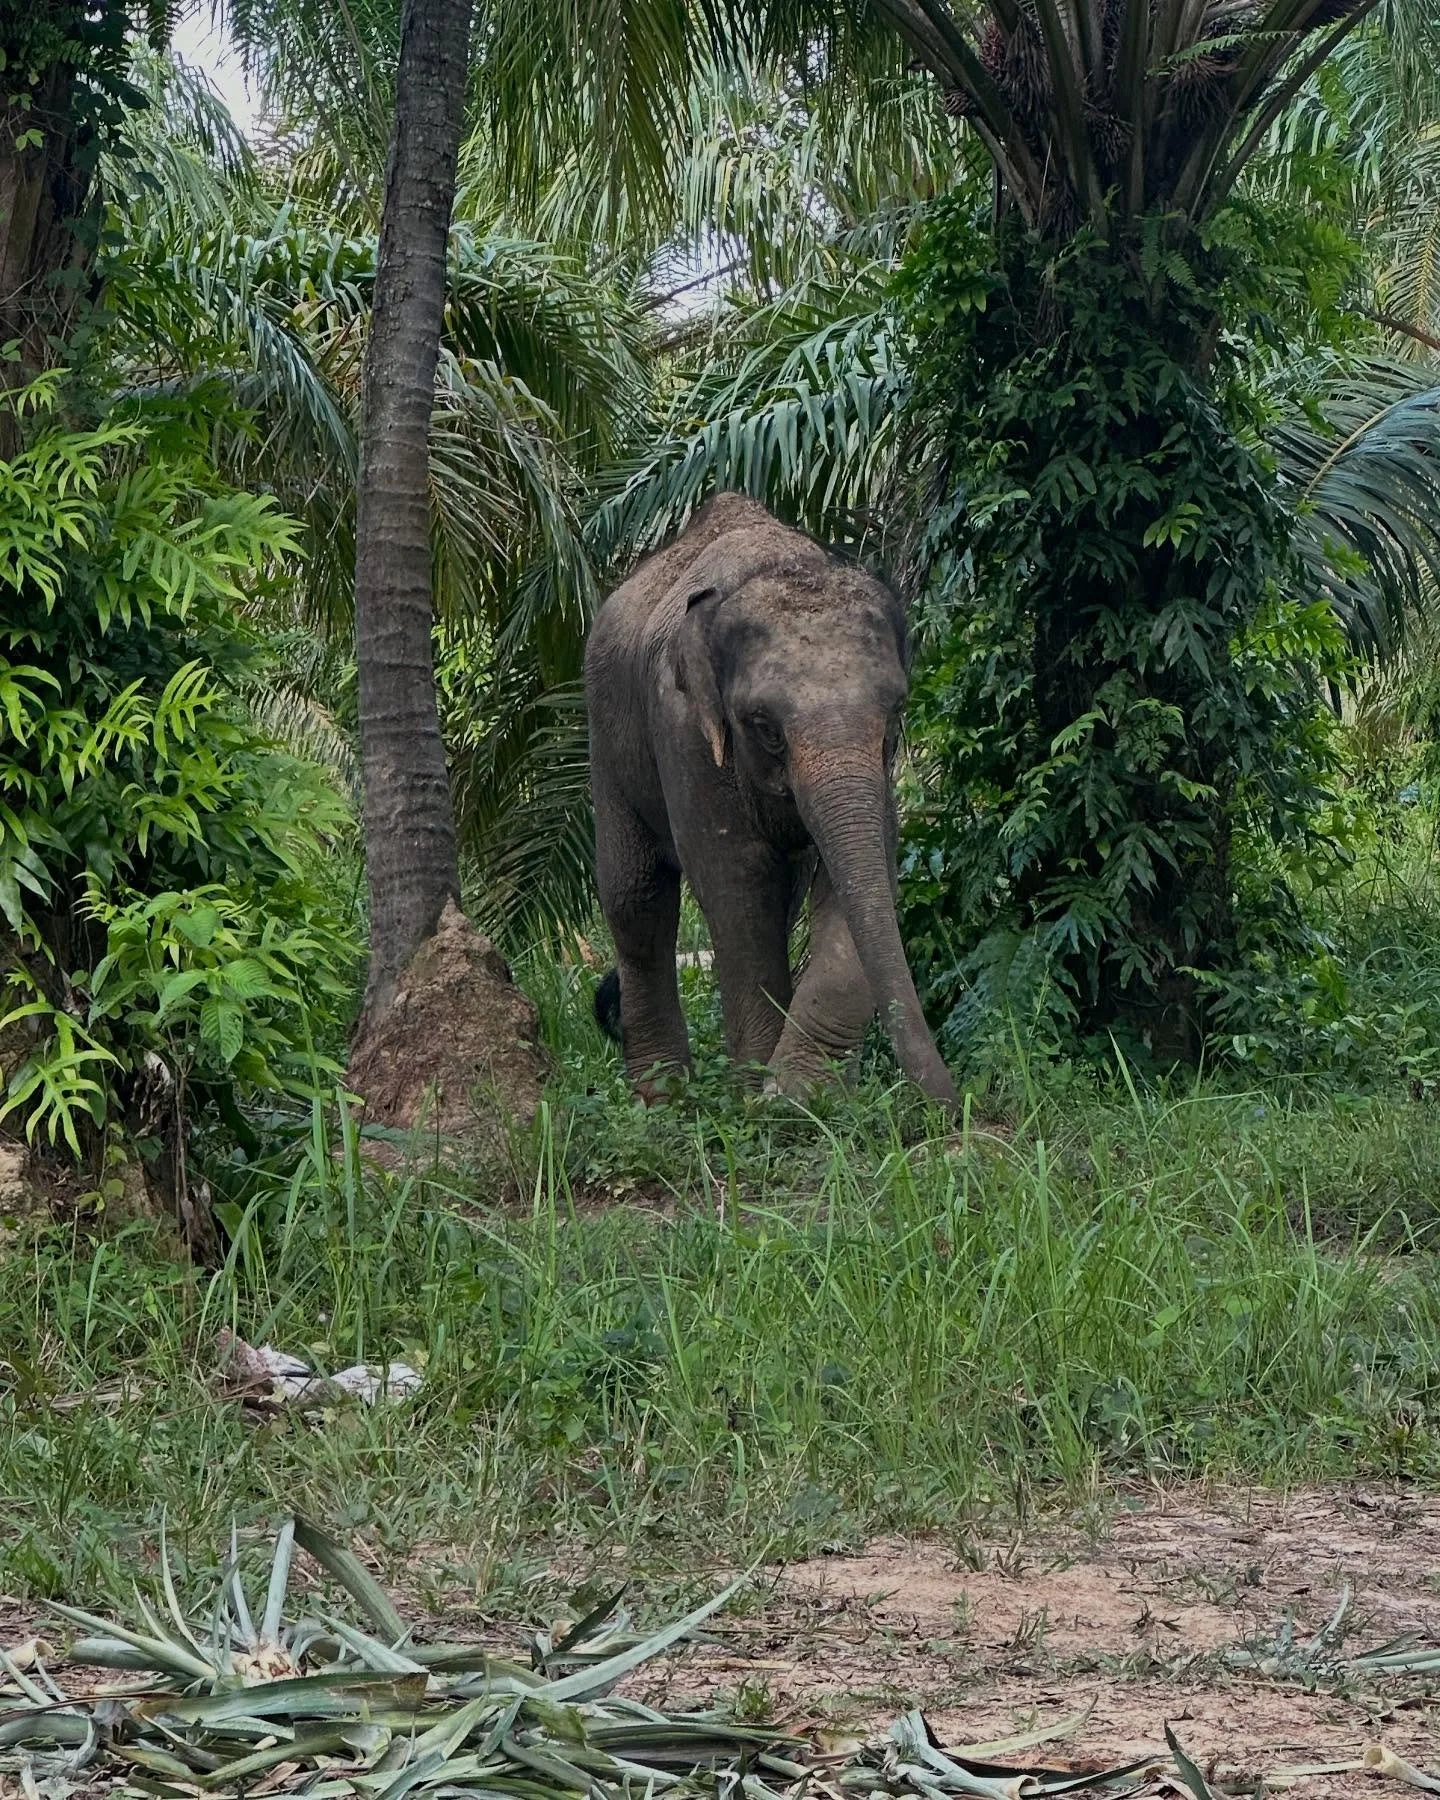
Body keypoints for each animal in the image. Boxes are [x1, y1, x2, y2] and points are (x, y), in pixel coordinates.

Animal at [583, 492, 958, 1111]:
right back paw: (663, 1096)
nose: (950, 1109)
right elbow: (736, 879)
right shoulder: (684, 729)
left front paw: (800, 1096)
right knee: (635, 896)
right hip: (606, 733)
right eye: (764, 727)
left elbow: (863, 866)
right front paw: (761, 1100)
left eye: (897, 709)